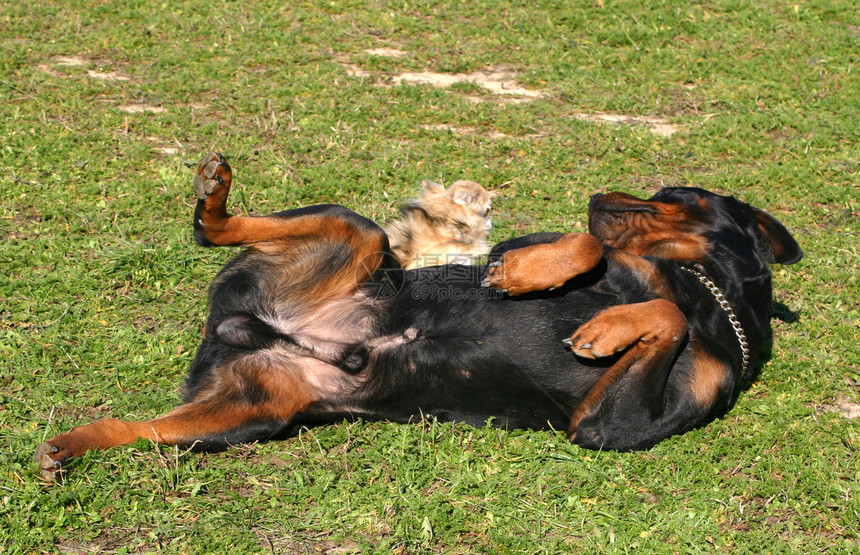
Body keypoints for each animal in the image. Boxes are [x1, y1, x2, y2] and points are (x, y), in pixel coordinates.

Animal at [31, 153, 800, 482]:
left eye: (675, 195)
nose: (597, 192)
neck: (705, 289)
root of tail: (239, 325)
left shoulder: (610, 426)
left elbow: (662, 310)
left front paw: (607, 324)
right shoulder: (526, 248)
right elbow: (589, 253)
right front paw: (535, 280)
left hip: (247, 414)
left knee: (139, 430)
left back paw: (68, 445)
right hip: (356, 232)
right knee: (215, 231)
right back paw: (214, 197)